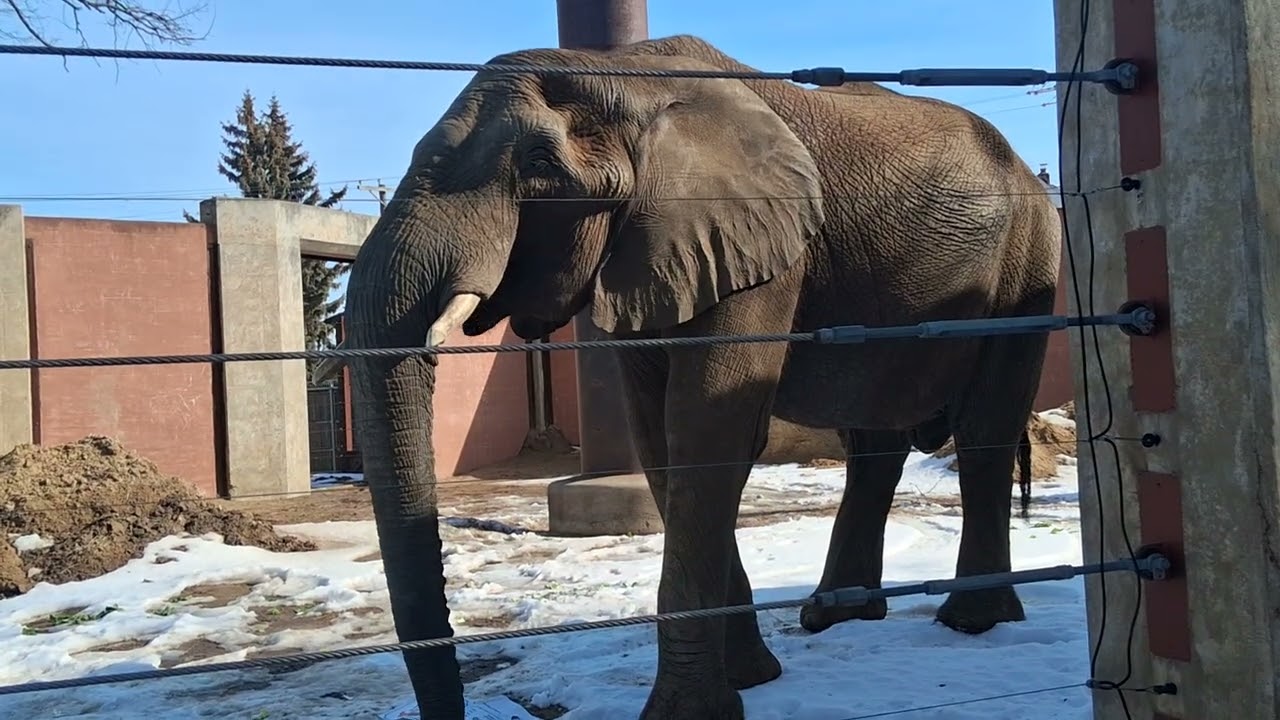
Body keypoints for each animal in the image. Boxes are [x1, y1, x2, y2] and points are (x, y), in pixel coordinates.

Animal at [328, 34, 1062, 720]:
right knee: (873, 443)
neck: (622, 74)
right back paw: (835, 616)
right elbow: (659, 437)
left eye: (538, 166)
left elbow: (709, 429)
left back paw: (973, 623)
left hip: (1028, 265)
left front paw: (691, 710)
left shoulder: (760, 247)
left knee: (984, 429)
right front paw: (752, 678)